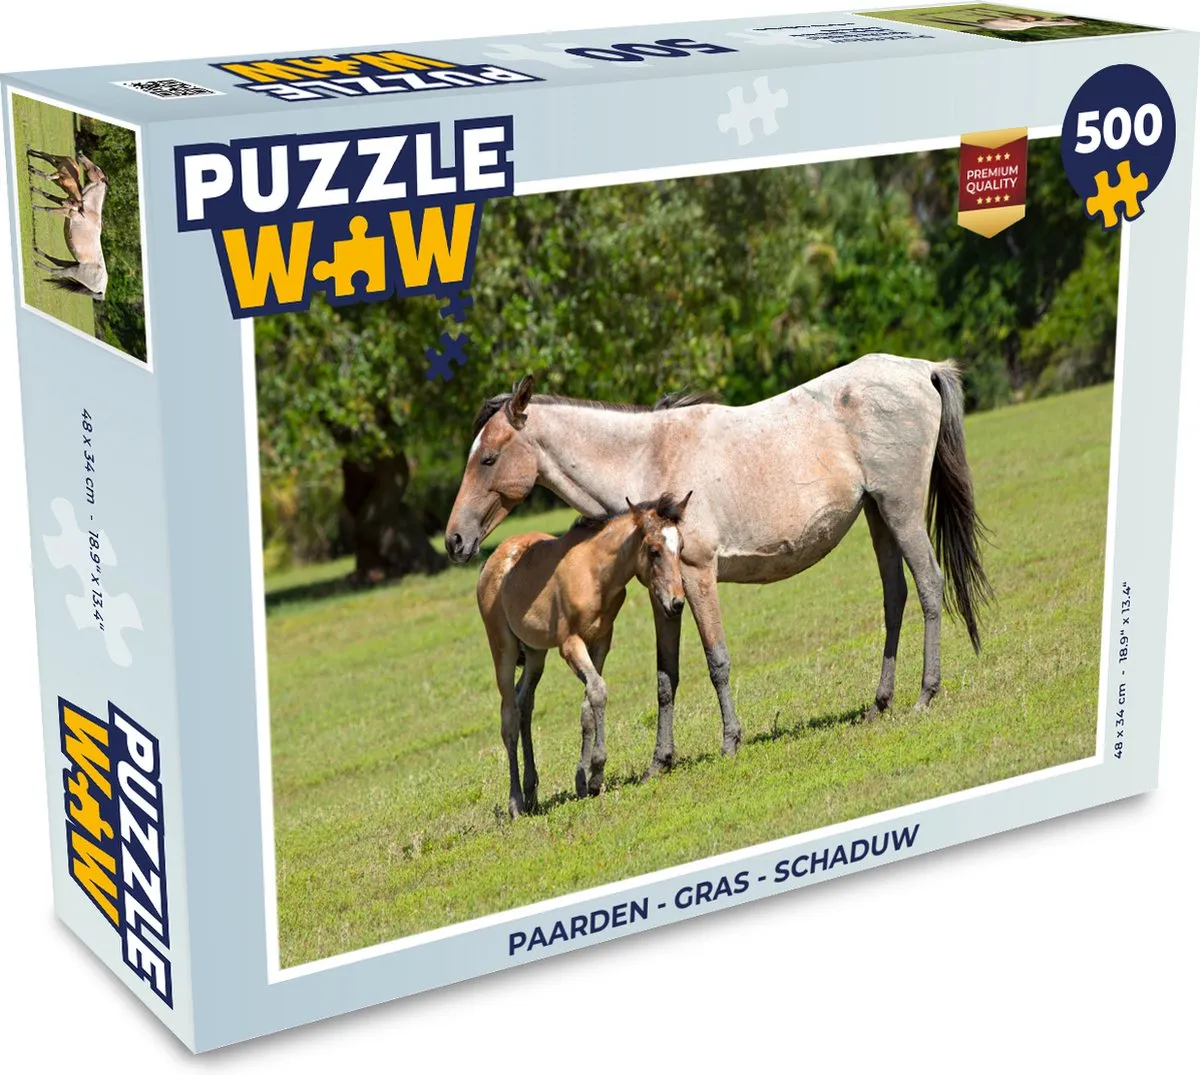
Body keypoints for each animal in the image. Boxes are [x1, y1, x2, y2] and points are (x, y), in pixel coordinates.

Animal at [27, 149, 109, 300]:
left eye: (96, 169)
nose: (81, 155)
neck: (88, 210)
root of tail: (102, 290)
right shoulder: (64, 203)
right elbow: (47, 196)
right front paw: (32, 188)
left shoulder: (66, 212)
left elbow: (48, 209)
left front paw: (34, 206)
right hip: (73, 263)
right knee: (56, 261)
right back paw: (36, 249)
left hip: (73, 270)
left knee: (56, 271)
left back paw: (36, 262)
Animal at [448, 354, 990, 778]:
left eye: (488, 458)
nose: (455, 540)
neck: (648, 455)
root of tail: (922, 369)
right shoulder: (662, 596)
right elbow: (666, 677)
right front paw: (660, 762)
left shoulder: (696, 573)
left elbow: (717, 660)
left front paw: (730, 741)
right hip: (879, 515)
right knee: (895, 598)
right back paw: (880, 702)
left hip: (901, 510)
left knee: (929, 586)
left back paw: (925, 693)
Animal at [477, 492, 691, 817]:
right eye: (654, 551)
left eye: (681, 548)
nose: (676, 603)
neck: (596, 574)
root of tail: (491, 561)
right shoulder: (570, 644)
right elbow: (598, 692)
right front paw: (597, 772)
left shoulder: (601, 640)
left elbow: (588, 706)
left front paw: (584, 781)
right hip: (502, 647)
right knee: (509, 716)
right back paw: (515, 803)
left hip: (536, 654)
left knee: (524, 704)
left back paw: (531, 792)